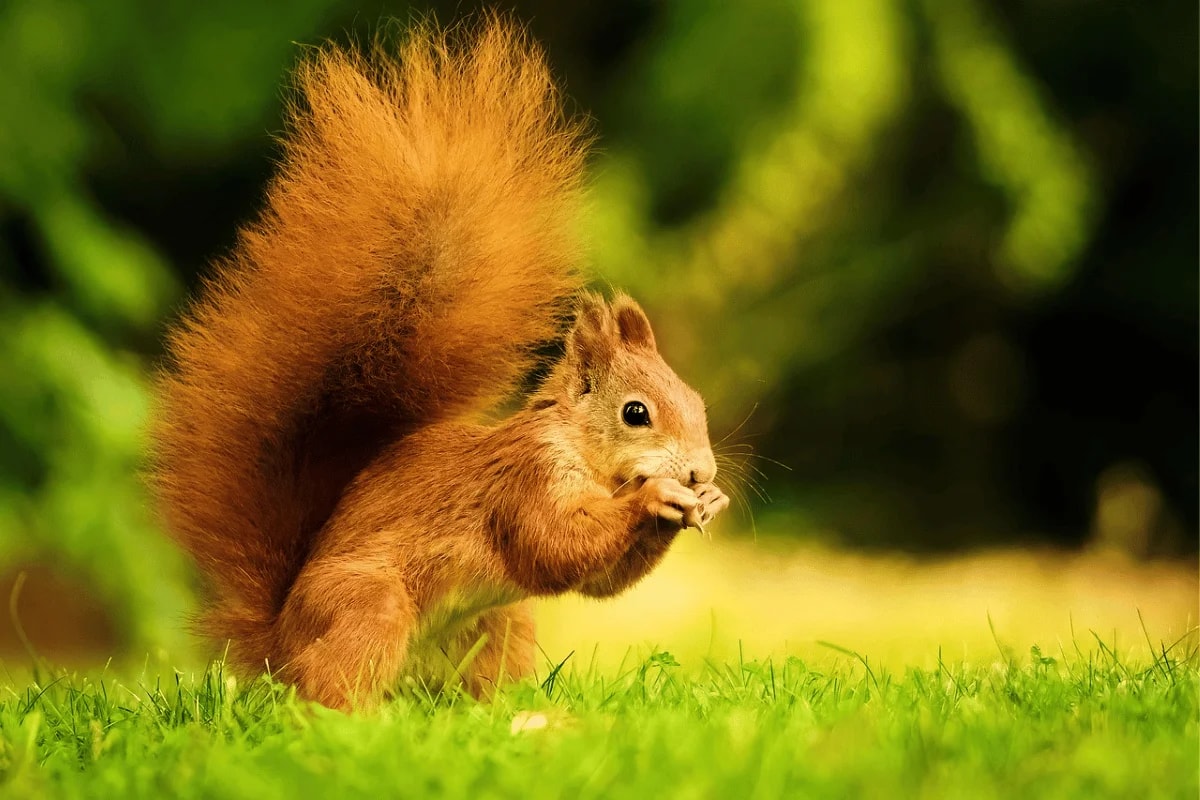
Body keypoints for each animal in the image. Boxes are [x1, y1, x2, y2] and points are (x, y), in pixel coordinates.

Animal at [150, 18, 729, 710]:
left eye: (696, 402)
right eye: (635, 413)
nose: (699, 470)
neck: (580, 452)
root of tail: (278, 640)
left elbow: (598, 580)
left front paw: (707, 500)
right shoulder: (524, 481)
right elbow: (558, 545)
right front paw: (659, 496)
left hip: (499, 623)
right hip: (367, 607)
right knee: (326, 682)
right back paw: (351, 718)